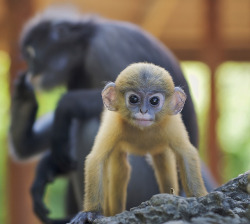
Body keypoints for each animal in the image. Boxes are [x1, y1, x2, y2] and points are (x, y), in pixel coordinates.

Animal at [83, 62, 206, 219]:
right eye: (133, 99)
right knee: (121, 170)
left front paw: (199, 198)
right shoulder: (114, 122)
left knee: (163, 165)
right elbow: (96, 159)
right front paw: (91, 213)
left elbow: (186, 154)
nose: (143, 111)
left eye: (154, 101)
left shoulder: (171, 123)